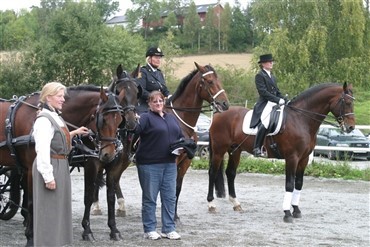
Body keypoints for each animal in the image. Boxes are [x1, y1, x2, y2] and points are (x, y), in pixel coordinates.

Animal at [0, 85, 127, 245]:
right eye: (103, 119)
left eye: (119, 119)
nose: (108, 154)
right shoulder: (34, 168)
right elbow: (32, 202)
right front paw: (30, 237)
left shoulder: (111, 168)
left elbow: (110, 197)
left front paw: (114, 230)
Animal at [79, 64, 141, 241]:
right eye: (119, 90)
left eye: (137, 92)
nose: (131, 121)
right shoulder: (91, 163)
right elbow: (87, 195)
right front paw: (87, 230)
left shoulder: (114, 164)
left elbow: (110, 196)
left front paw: (114, 229)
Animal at [208, 82, 356, 223]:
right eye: (347, 102)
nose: (351, 127)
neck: (301, 119)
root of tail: (218, 114)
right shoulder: (292, 158)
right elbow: (289, 184)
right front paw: (287, 214)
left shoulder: (304, 159)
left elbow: (299, 183)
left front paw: (296, 210)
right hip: (219, 150)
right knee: (213, 173)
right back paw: (211, 205)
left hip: (235, 150)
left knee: (230, 173)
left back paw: (236, 204)